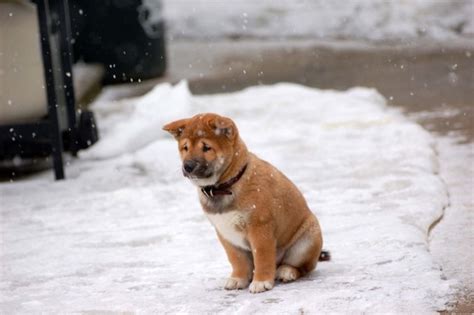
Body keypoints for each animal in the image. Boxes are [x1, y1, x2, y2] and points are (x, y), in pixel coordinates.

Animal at [162, 113, 326, 294]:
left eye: (206, 147)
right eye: (185, 148)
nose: (188, 166)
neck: (226, 185)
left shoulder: (259, 227)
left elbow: (262, 257)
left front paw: (261, 281)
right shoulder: (226, 232)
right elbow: (237, 259)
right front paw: (239, 278)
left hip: (307, 240)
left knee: (303, 267)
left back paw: (286, 271)